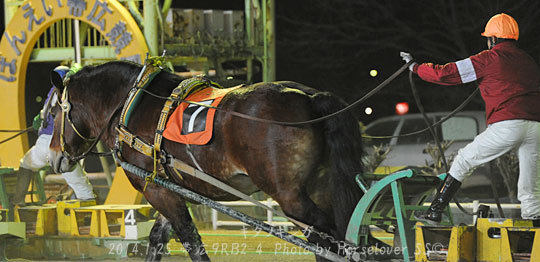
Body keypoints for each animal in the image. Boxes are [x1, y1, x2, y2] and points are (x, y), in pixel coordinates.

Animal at [48, 60, 364, 260]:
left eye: (54, 111)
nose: (53, 156)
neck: (132, 103)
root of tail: (311, 97)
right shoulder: (170, 188)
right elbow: (157, 239)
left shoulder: (157, 191)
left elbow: (191, 241)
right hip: (318, 189)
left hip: (291, 198)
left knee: (327, 236)